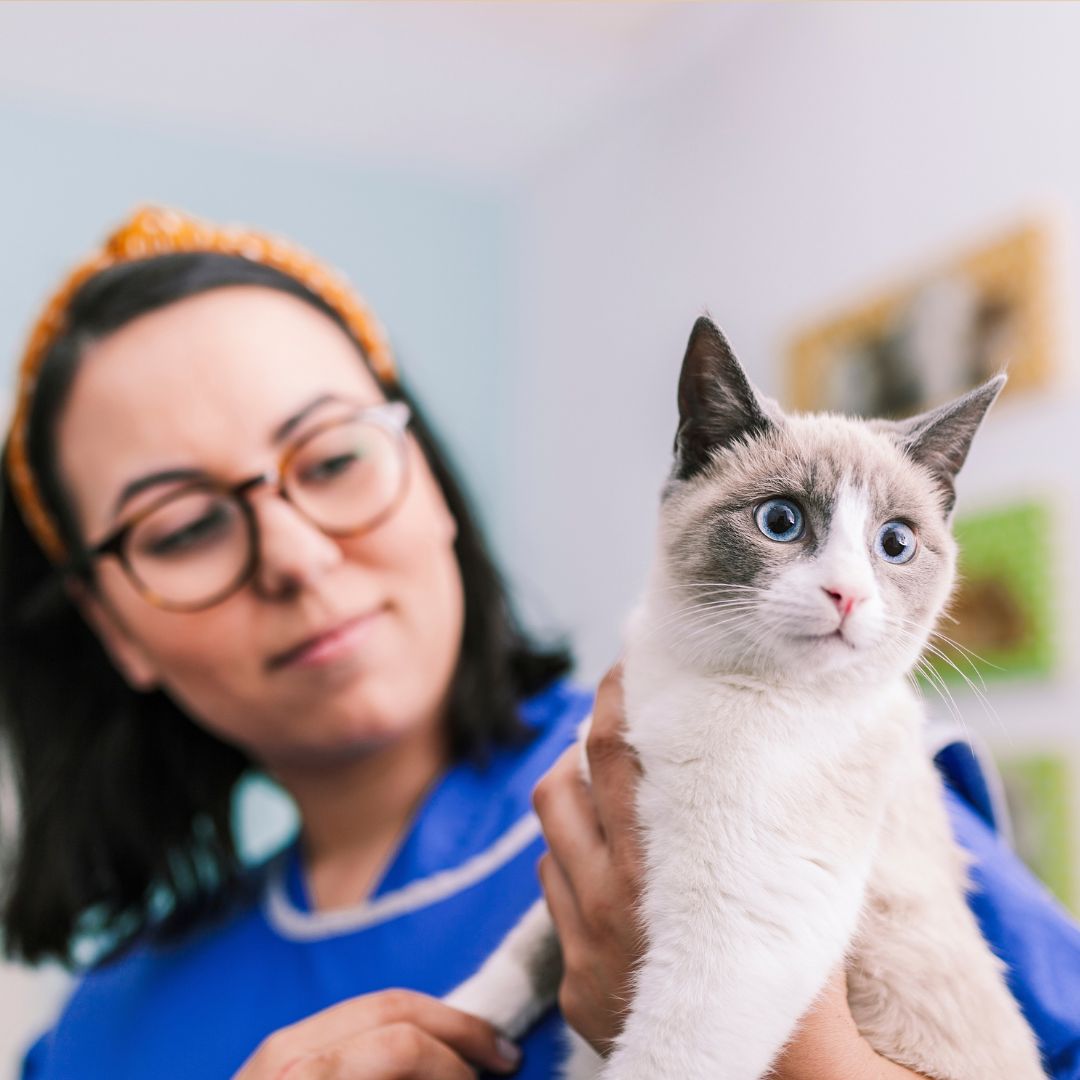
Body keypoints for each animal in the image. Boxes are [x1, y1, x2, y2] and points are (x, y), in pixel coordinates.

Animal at [447, 315, 1045, 1075]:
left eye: (895, 543)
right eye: (781, 521)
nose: (847, 594)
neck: (701, 677)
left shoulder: (738, 936)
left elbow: (659, 1054)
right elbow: (526, 948)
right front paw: (453, 1026)